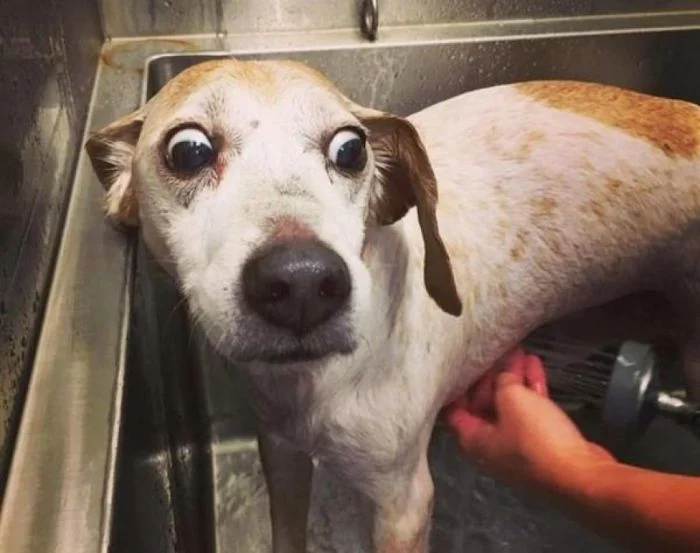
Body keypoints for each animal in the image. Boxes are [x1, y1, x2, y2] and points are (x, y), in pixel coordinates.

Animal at [85, 59, 700, 552]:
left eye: (350, 149)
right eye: (188, 150)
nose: (303, 282)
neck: (315, 387)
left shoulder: (403, 505)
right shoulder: (280, 450)